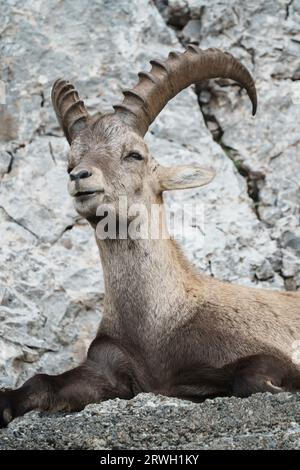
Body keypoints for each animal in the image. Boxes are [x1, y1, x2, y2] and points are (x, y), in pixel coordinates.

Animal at [0, 46, 300, 426]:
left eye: (134, 154)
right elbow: (41, 381)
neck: (156, 324)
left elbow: (249, 375)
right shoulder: (110, 369)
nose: (80, 177)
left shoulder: (254, 349)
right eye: (70, 161)